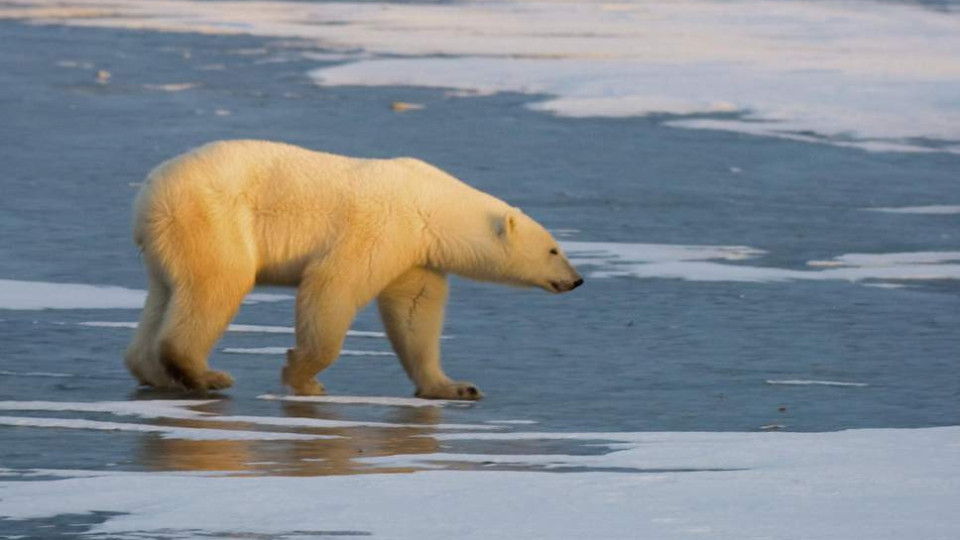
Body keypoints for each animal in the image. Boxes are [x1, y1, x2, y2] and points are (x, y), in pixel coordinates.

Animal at [124, 141, 580, 398]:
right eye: (554, 249)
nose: (576, 280)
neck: (430, 205)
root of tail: (148, 194)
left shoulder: (415, 253)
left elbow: (416, 312)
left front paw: (455, 386)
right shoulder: (382, 225)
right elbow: (333, 285)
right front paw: (303, 376)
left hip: (169, 240)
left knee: (165, 294)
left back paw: (154, 372)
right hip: (213, 218)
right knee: (219, 283)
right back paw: (205, 375)